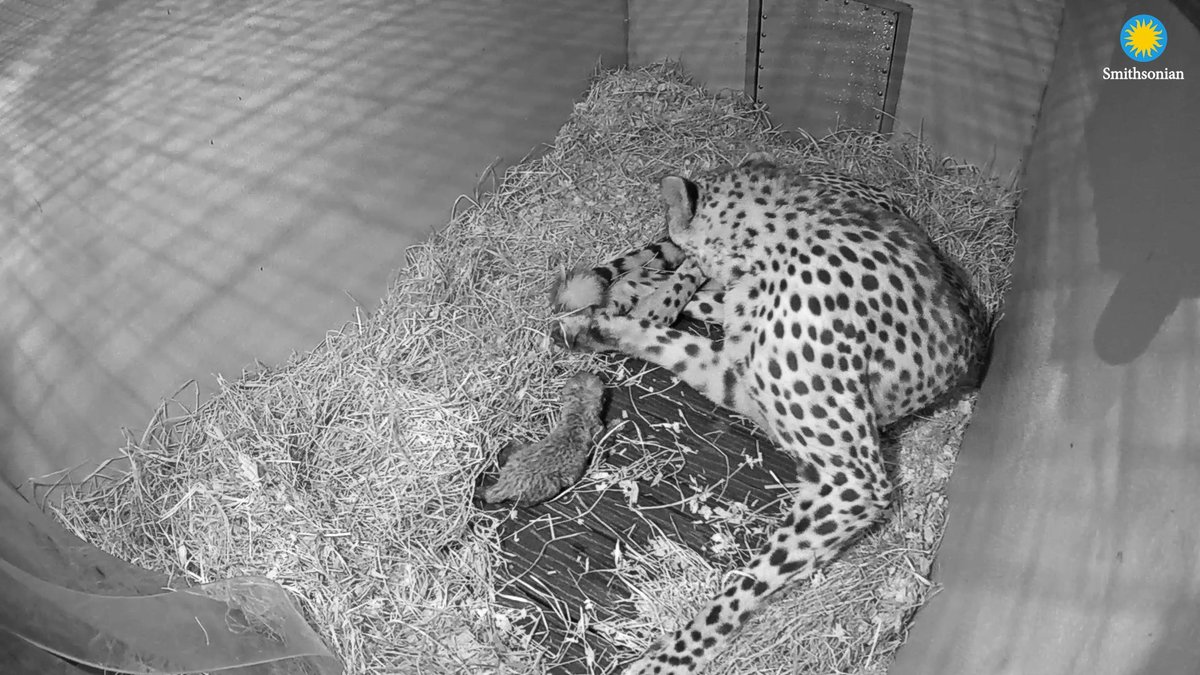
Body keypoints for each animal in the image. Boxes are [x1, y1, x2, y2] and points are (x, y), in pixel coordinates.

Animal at [552, 152, 990, 674]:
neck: (773, 241)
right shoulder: (736, 374)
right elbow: (671, 337)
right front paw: (599, 321)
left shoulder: (851, 479)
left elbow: (748, 583)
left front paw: (669, 658)